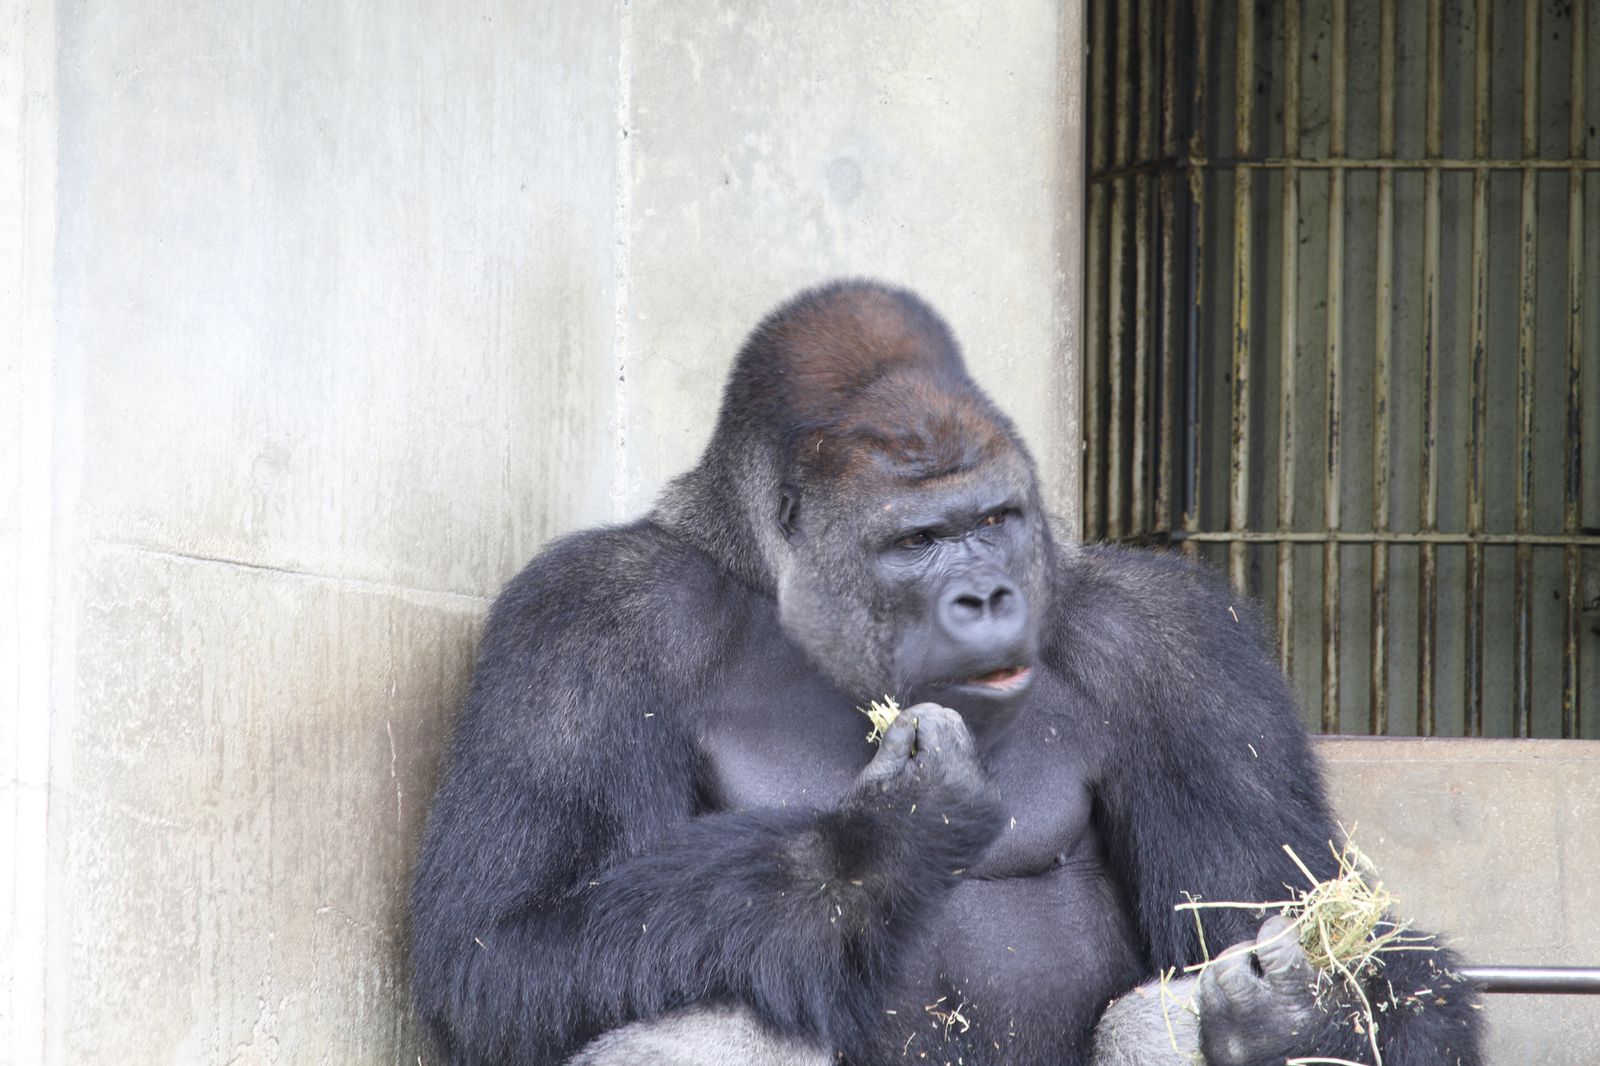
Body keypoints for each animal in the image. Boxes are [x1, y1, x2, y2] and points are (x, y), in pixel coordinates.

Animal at [406, 280, 1478, 1062]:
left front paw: (1312, 1008)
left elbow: (1271, 914)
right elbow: (500, 946)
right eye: (917, 541)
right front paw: (876, 846)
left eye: (995, 518)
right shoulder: (590, 616)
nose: (989, 597)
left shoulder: (1176, 642)